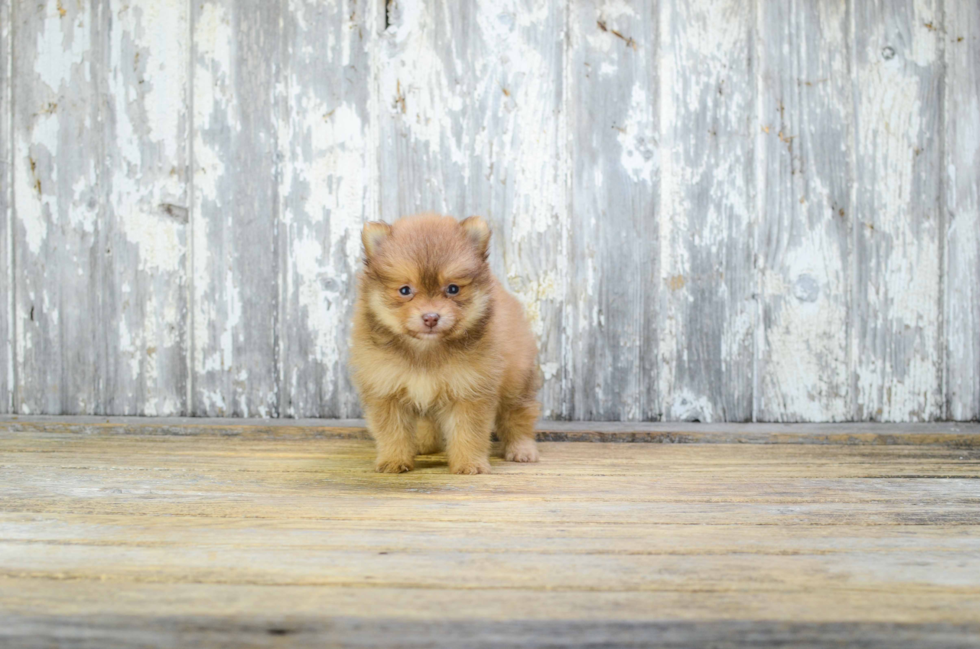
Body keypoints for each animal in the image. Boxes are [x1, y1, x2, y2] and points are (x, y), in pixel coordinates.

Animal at [348, 215, 544, 474]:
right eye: (405, 290)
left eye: (453, 289)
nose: (431, 317)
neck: (426, 351)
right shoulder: (386, 390)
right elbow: (393, 431)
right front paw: (394, 460)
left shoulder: (470, 390)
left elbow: (468, 431)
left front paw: (470, 464)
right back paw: (424, 445)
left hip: (517, 381)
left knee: (517, 415)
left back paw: (521, 449)